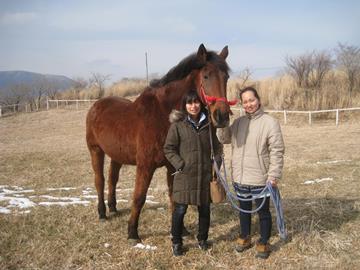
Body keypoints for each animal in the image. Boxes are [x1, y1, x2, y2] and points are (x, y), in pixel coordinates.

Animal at [86, 43, 231, 242]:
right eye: (206, 76)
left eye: (226, 77)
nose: (222, 116)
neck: (163, 115)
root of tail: (96, 105)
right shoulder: (145, 166)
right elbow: (139, 197)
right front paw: (132, 232)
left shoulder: (173, 165)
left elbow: (174, 197)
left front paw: (181, 230)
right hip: (95, 150)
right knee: (99, 180)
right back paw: (102, 213)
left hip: (117, 155)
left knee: (112, 179)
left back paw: (113, 208)